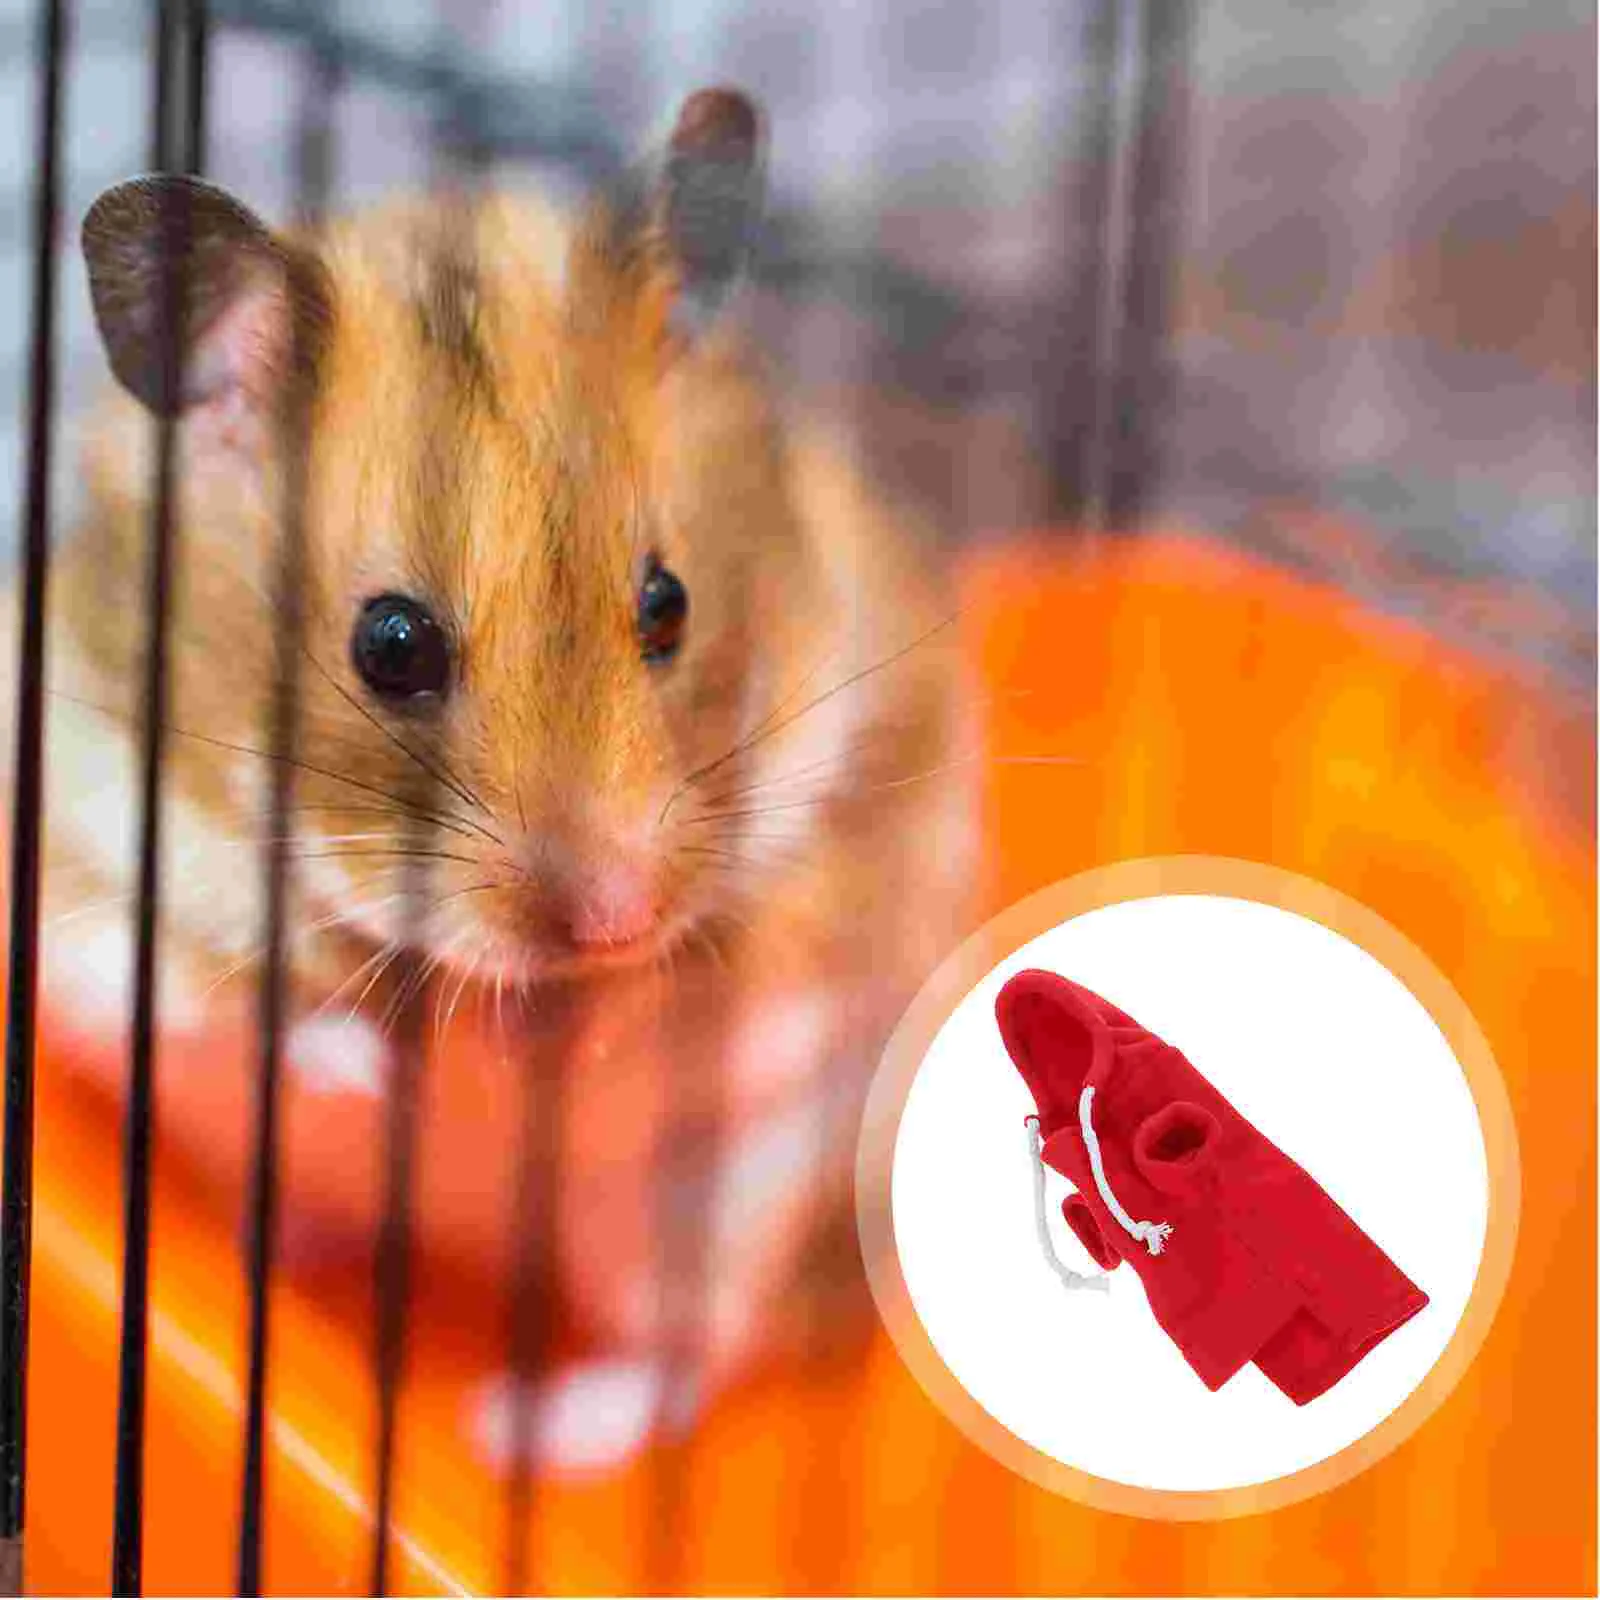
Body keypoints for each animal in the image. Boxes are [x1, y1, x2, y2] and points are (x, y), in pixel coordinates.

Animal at [22, 90, 976, 1395]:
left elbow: (718, 979)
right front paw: (402, 1077)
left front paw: (568, 1045)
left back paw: (526, 1416)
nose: (619, 921)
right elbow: (254, 1006)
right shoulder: (97, 860)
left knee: (690, 1359)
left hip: (706, 1226)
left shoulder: (841, 824)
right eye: (391, 644)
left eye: (669, 603)